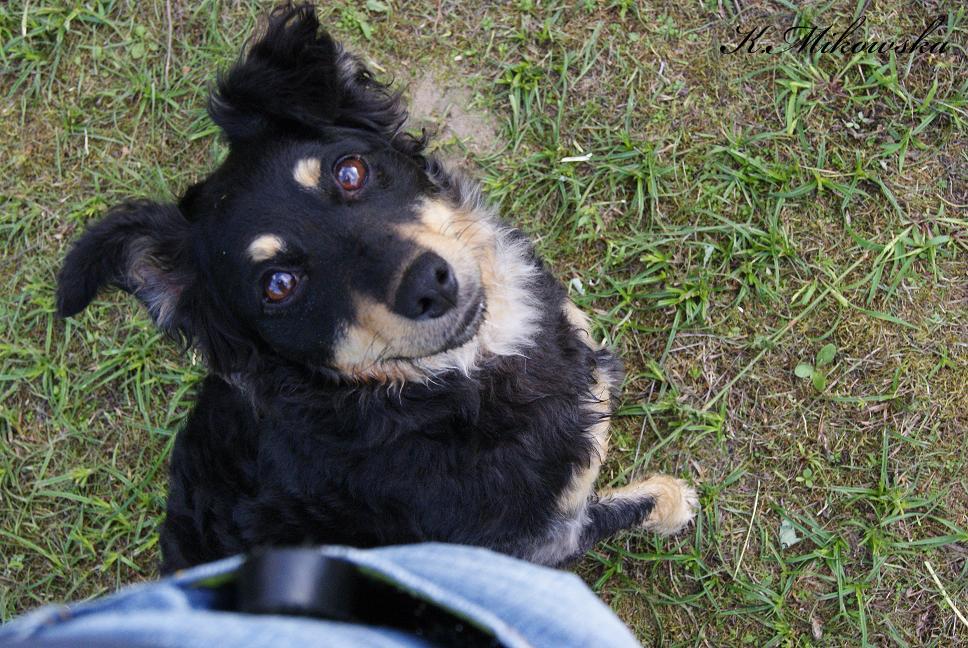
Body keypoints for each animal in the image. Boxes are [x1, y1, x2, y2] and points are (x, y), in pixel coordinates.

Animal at [56, 3, 698, 573]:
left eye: (350, 171)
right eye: (279, 284)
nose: (429, 285)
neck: (441, 394)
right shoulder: (540, 540)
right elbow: (618, 507)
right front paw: (674, 501)